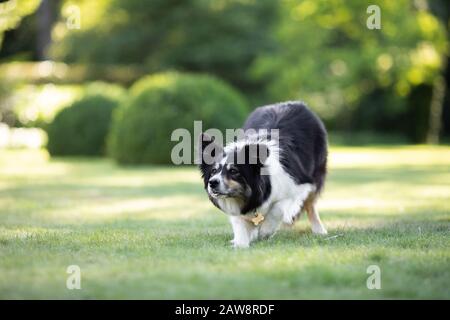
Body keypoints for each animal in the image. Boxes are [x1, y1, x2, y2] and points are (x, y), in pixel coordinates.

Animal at [199, 101, 328, 249]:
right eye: (213, 171)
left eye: (234, 171)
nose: (212, 183)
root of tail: (297, 103)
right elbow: (239, 223)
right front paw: (240, 242)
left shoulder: (300, 186)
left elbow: (278, 208)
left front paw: (265, 231)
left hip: (317, 175)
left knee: (310, 205)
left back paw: (319, 230)